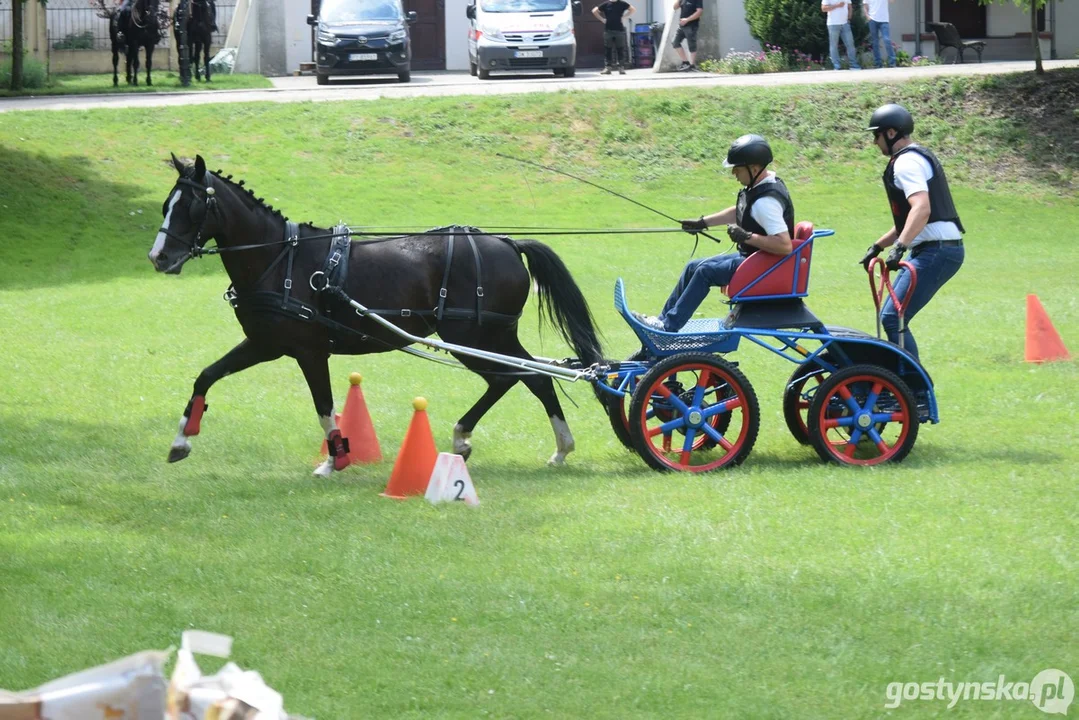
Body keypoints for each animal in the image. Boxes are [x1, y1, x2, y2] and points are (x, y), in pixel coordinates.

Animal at [149, 155, 608, 474]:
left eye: (191, 207)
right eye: (165, 205)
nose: (159, 257)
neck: (280, 259)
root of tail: (508, 242)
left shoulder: (309, 351)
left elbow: (324, 407)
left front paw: (334, 460)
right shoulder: (265, 343)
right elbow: (206, 377)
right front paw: (181, 441)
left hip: (473, 337)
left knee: (511, 377)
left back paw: (473, 437)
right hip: (493, 337)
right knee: (532, 377)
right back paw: (554, 448)